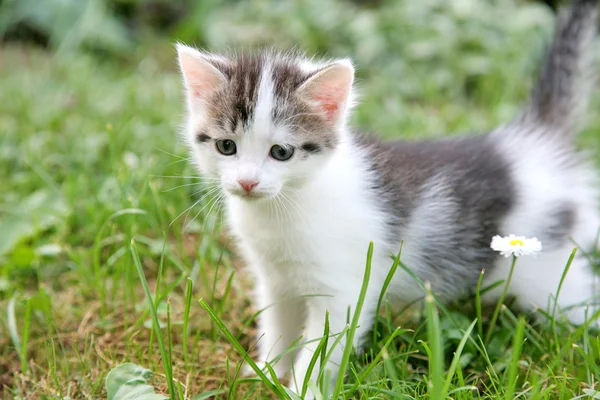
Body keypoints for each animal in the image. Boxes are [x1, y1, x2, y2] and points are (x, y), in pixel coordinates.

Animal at [176, 0, 596, 394]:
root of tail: (534, 143)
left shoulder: (342, 290)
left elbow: (322, 347)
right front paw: (265, 372)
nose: (247, 182)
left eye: (281, 152)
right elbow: (278, 323)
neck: (283, 209)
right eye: (227, 146)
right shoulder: (275, 278)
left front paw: (302, 389)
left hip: (549, 272)